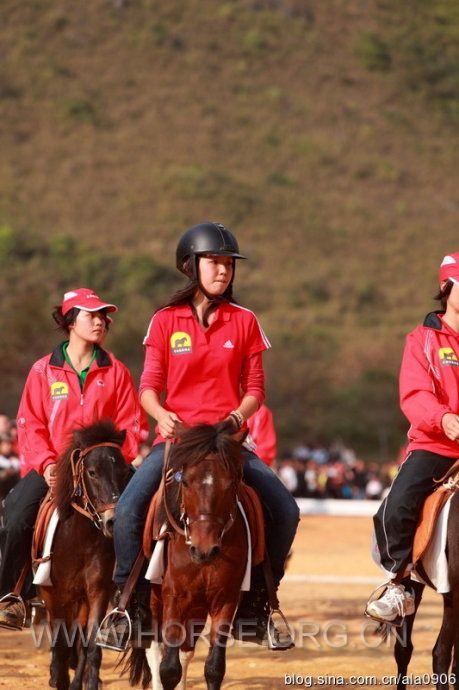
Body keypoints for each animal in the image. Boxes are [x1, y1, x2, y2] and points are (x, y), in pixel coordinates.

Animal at [37, 419, 130, 690]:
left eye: (123, 471)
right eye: (92, 472)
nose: (113, 521)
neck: (78, 541)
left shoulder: (98, 591)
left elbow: (90, 645)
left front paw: (87, 681)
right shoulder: (52, 594)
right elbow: (59, 643)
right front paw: (58, 677)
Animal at [126, 421, 249, 690]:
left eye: (231, 483)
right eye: (186, 483)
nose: (204, 549)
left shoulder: (226, 598)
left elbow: (214, 667)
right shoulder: (175, 596)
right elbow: (168, 669)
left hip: (198, 606)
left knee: (186, 650)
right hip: (154, 600)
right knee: (154, 648)